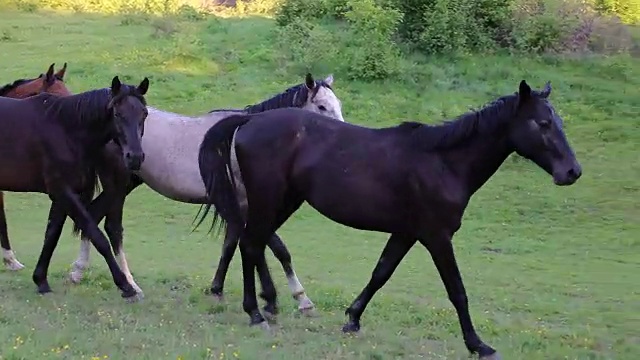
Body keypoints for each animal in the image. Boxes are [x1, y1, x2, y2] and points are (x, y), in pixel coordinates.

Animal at [62, 74, 344, 312]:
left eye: (338, 104)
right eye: (321, 107)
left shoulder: (236, 205)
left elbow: (232, 243)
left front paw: (217, 289)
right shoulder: (243, 204)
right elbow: (273, 246)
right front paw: (298, 298)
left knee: (93, 216)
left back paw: (79, 272)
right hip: (117, 186)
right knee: (110, 227)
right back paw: (125, 284)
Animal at [198, 80, 584, 358]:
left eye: (559, 122)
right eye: (543, 123)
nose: (572, 172)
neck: (443, 162)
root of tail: (250, 120)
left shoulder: (406, 233)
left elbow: (381, 273)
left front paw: (352, 319)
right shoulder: (437, 237)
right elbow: (457, 291)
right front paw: (478, 345)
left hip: (285, 202)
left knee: (253, 243)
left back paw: (267, 305)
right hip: (269, 201)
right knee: (250, 244)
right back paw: (256, 314)